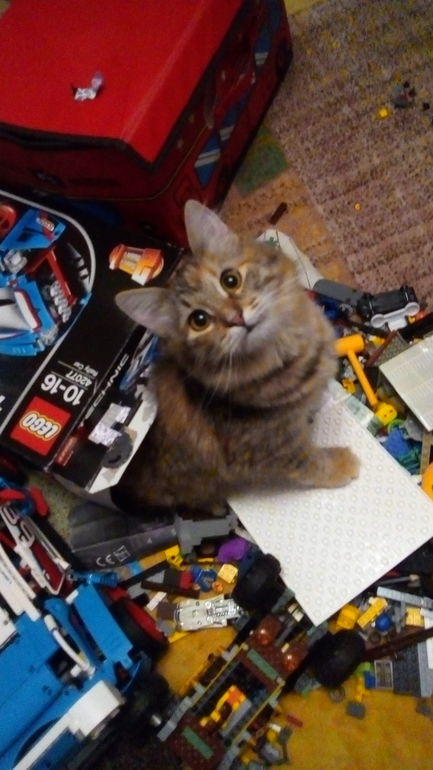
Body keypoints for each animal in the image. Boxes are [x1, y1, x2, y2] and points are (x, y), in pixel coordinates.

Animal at [112, 200, 359, 515]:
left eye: (230, 280)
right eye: (199, 320)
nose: (236, 318)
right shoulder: (274, 450)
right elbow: (312, 465)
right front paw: (341, 464)